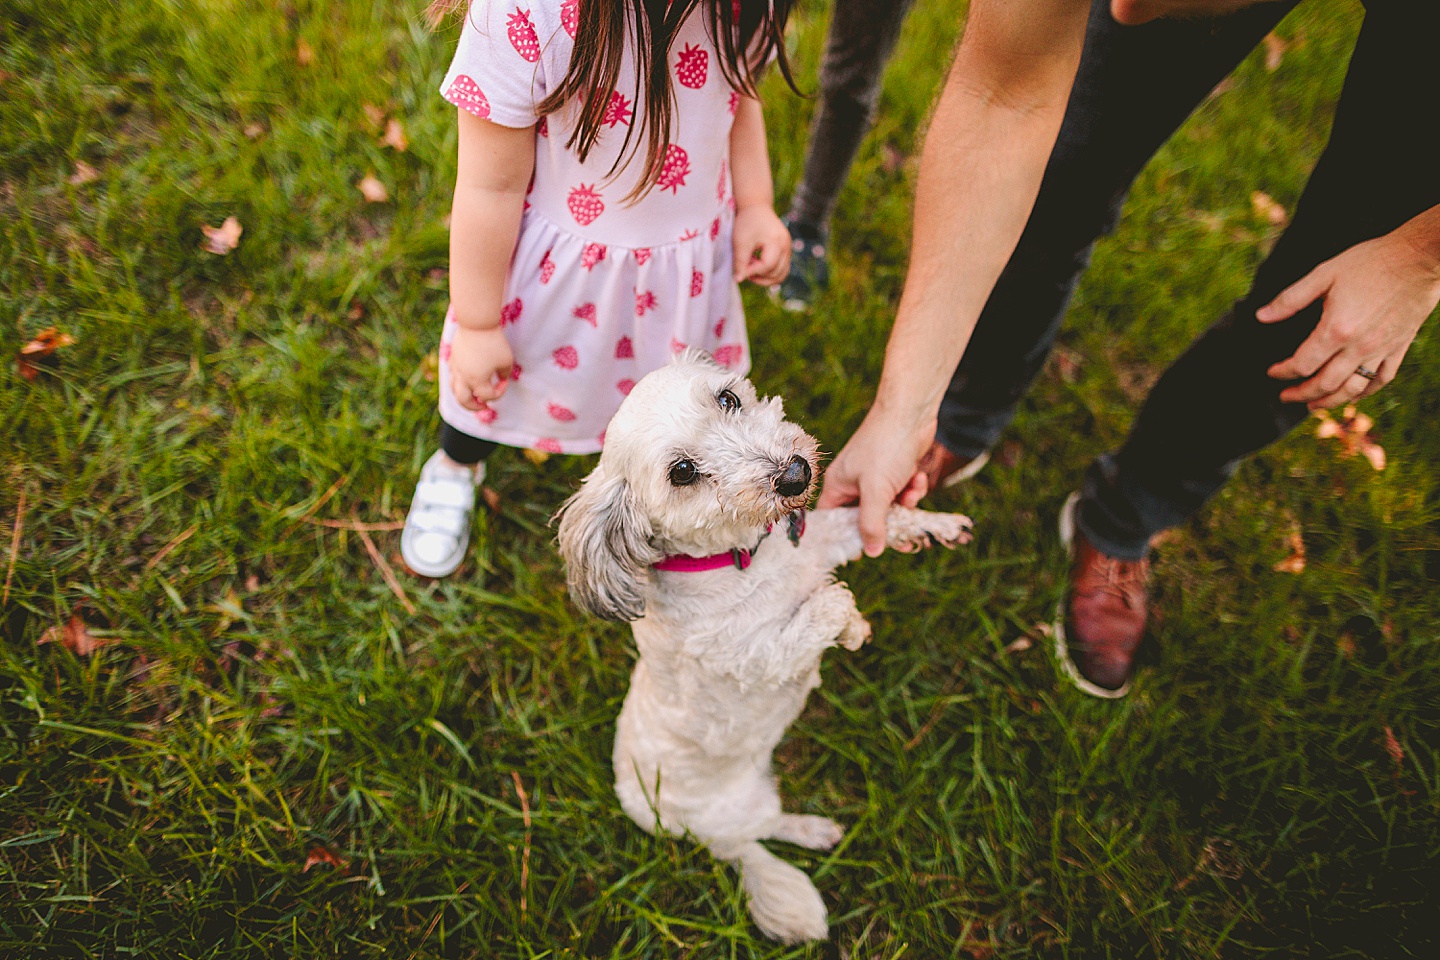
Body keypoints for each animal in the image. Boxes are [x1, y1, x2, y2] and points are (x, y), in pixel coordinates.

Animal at [555, 355, 973, 944]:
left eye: (728, 399)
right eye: (682, 472)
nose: (796, 473)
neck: (741, 559)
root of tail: (686, 836)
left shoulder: (820, 542)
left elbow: (864, 521)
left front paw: (930, 524)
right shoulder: (758, 656)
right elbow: (820, 612)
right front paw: (850, 625)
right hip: (738, 815)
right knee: (762, 834)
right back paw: (810, 830)